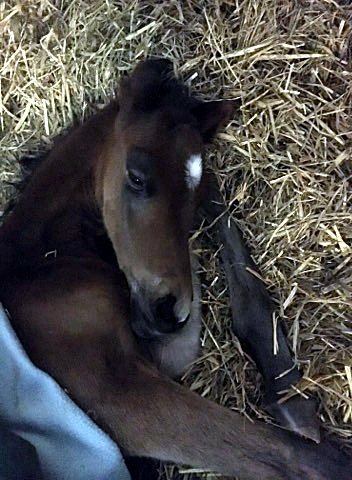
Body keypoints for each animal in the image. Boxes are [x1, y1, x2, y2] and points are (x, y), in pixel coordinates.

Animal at [0, 58, 350, 478]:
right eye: (136, 176)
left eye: (192, 198)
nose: (170, 310)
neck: (42, 263)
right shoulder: (109, 388)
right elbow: (293, 456)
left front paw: (292, 398)